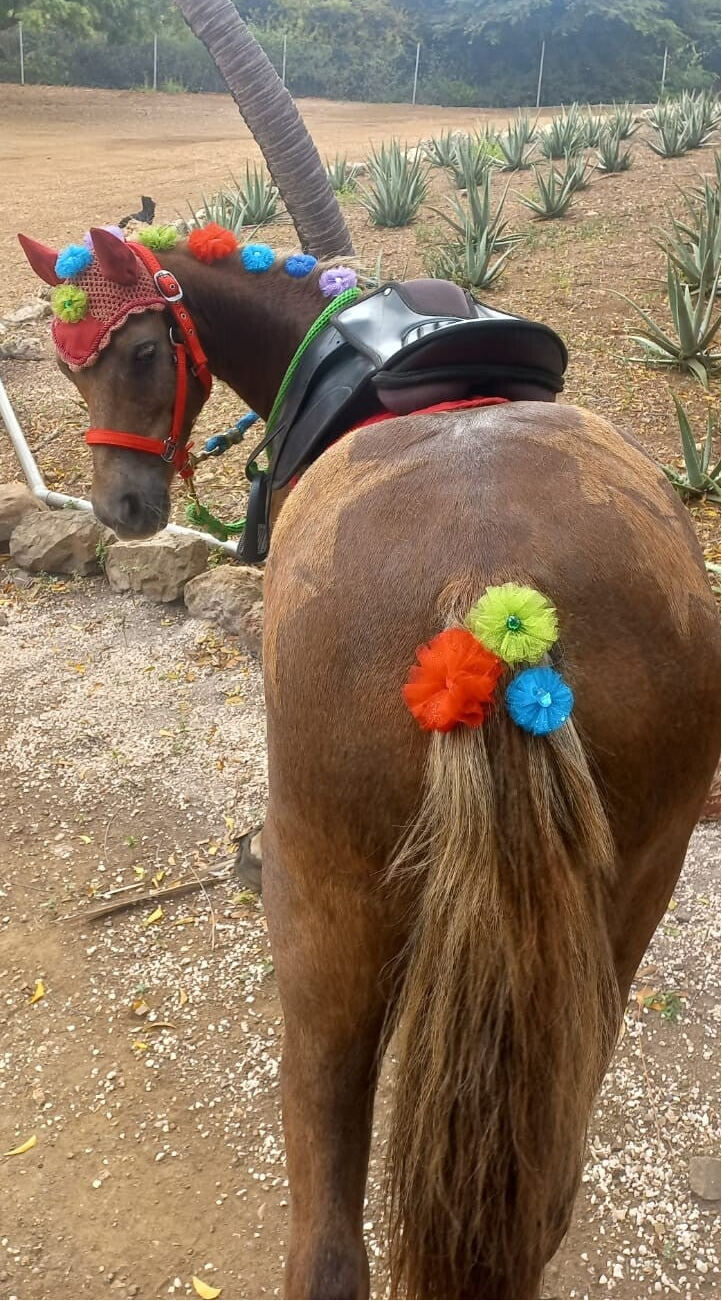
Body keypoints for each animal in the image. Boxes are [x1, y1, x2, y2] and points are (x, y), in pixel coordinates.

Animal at [19, 224, 721, 1301]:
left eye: (140, 353)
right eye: (65, 367)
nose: (123, 509)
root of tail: (496, 606)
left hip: (326, 917)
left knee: (326, 1240)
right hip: (620, 911)